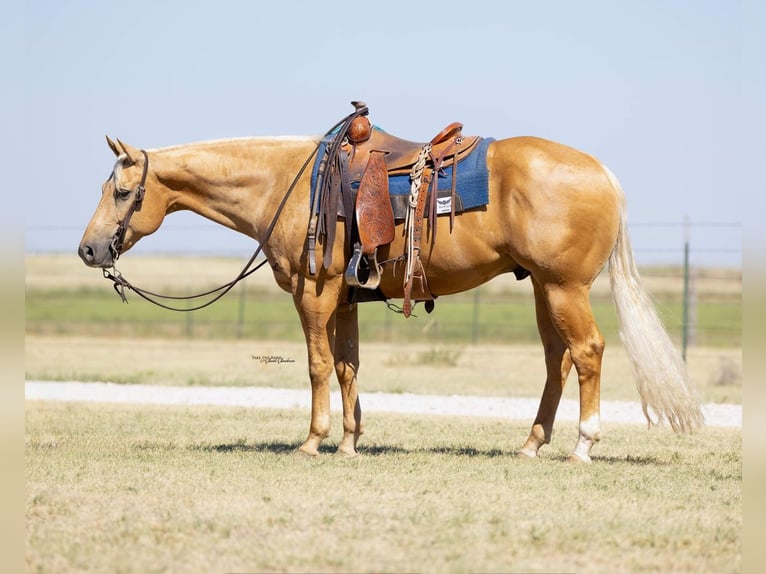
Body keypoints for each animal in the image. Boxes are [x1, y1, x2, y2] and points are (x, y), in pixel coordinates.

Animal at [78, 114, 703, 463]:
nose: (89, 250)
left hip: (564, 288)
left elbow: (317, 366)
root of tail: (603, 174)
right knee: (559, 360)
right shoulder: (345, 297)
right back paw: (532, 444)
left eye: (122, 191)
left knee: (588, 353)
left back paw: (582, 447)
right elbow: (348, 365)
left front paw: (313, 441)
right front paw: (350, 443)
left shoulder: (314, 292)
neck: (289, 184)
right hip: (544, 290)